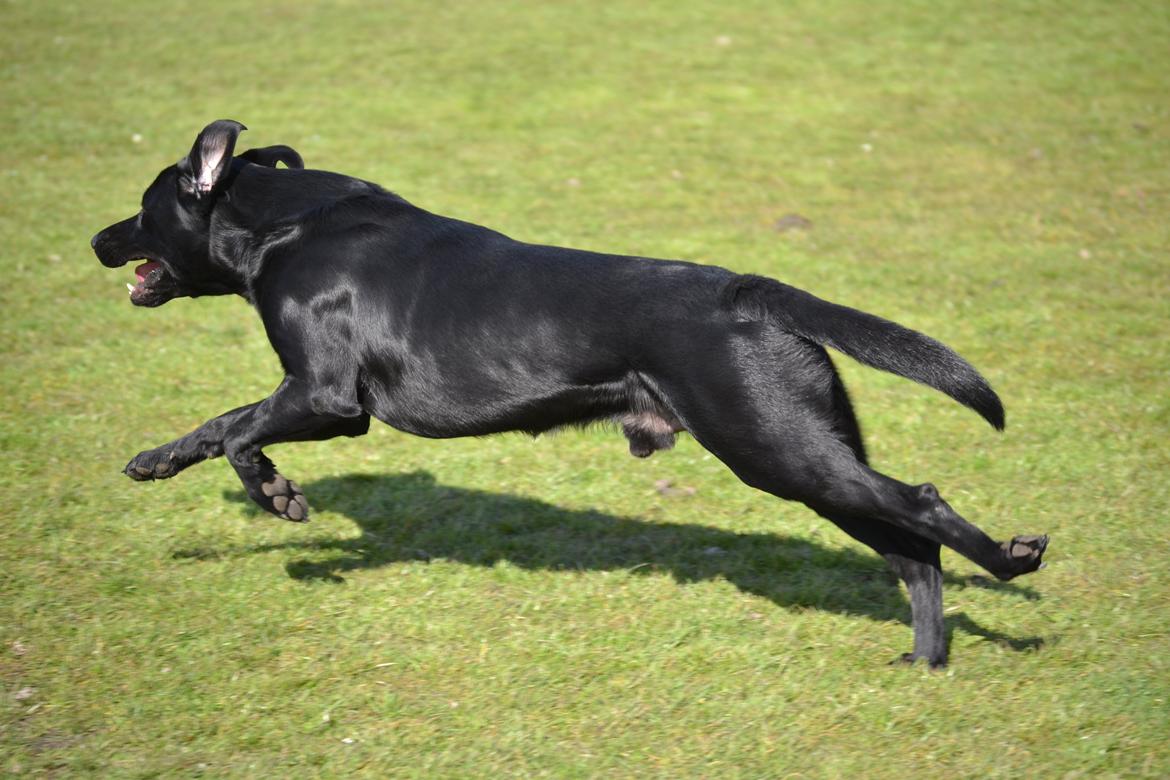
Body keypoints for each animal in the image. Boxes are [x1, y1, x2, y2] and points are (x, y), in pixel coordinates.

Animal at [86, 120, 1048, 664]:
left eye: (142, 206)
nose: (95, 239)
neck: (286, 225)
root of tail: (752, 292)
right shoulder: (312, 398)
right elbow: (219, 427)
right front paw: (165, 464)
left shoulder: (327, 398)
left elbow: (236, 429)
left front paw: (273, 496)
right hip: (805, 457)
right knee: (912, 550)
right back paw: (923, 663)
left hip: (780, 449)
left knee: (924, 507)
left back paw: (1015, 560)